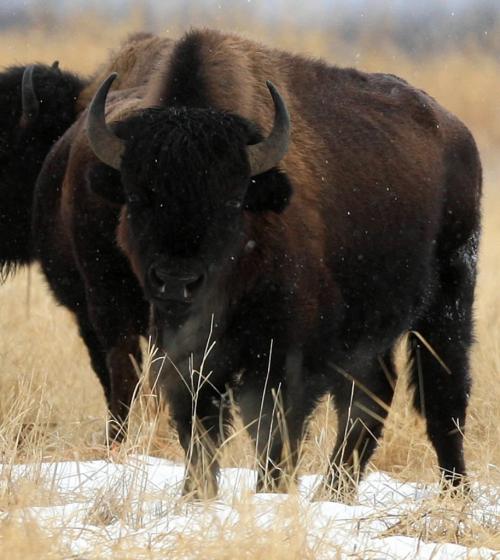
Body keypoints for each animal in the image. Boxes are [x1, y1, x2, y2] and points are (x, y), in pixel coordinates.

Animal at [30, 28, 480, 498]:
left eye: (232, 201)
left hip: (450, 297)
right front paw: (197, 494)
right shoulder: (184, 354)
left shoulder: (284, 359)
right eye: (137, 197)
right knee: (372, 395)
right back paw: (334, 491)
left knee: (442, 396)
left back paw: (455, 493)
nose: (176, 281)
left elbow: (273, 432)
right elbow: (200, 430)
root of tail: (455, 129)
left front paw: (269, 491)